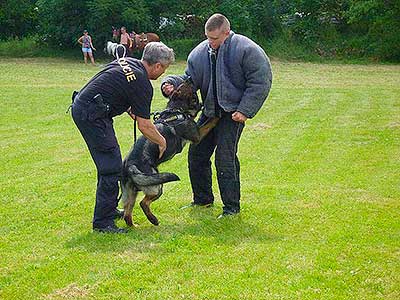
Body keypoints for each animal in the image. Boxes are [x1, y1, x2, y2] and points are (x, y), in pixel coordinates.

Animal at [120, 78, 217, 226]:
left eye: (180, 85)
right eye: (185, 87)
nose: (189, 78)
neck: (177, 111)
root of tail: (130, 165)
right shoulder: (198, 136)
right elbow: (211, 121)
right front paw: (220, 114)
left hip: (130, 194)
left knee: (127, 213)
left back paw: (134, 226)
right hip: (157, 186)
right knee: (143, 202)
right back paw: (153, 219)